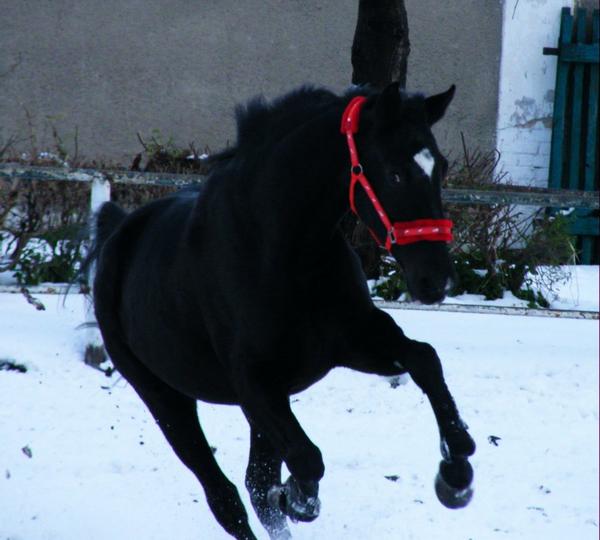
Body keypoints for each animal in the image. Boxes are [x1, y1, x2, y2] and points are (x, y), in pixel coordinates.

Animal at [88, 82, 474, 536]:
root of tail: (119, 232)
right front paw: (299, 499)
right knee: (226, 498)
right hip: (165, 399)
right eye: (395, 172)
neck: (282, 253)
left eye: (441, 167)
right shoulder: (254, 383)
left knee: (255, 483)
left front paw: (457, 470)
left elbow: (425, 359)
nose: (437, 282)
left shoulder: (355, 342)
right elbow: (307, 460)